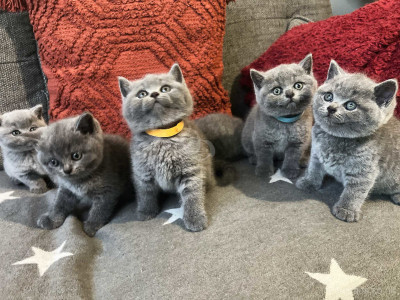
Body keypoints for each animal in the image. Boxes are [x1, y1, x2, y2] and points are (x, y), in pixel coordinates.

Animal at [119, 63, 216, 232]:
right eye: (142, 94)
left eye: (165, 88)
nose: (154, 94)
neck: (162, 137)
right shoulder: (142, 172)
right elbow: (145, 193)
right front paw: (145, 212)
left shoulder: (190, 169)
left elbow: (192, 195)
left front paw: (195, 219)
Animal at [296, 59, 400, 221]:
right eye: (328, 97)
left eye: (351, 105)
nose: (331, 108)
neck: (335, 138)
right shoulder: (316, 154)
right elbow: (314, 169)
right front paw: (309, 182)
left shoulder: (363, 170)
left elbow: (355, 191)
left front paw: (346, 209)